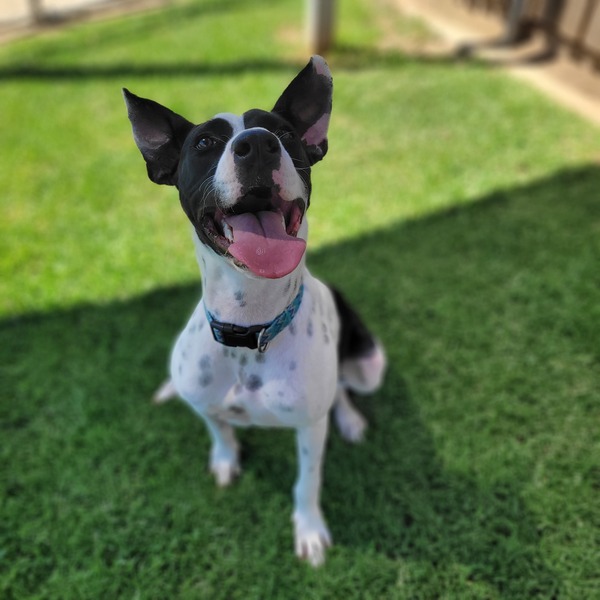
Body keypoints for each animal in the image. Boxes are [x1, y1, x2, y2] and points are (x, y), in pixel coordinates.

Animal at [123, 56, 385, 566]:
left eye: (283, 133)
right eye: (205, 143)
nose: (258, 145)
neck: (250, 328)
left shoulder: (309, 428)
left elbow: (307, 482)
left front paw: (309, 530)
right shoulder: (204, 400)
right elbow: (218, 430)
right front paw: (225, 460)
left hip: (370, 364)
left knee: (344, 390)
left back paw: (348, 418)